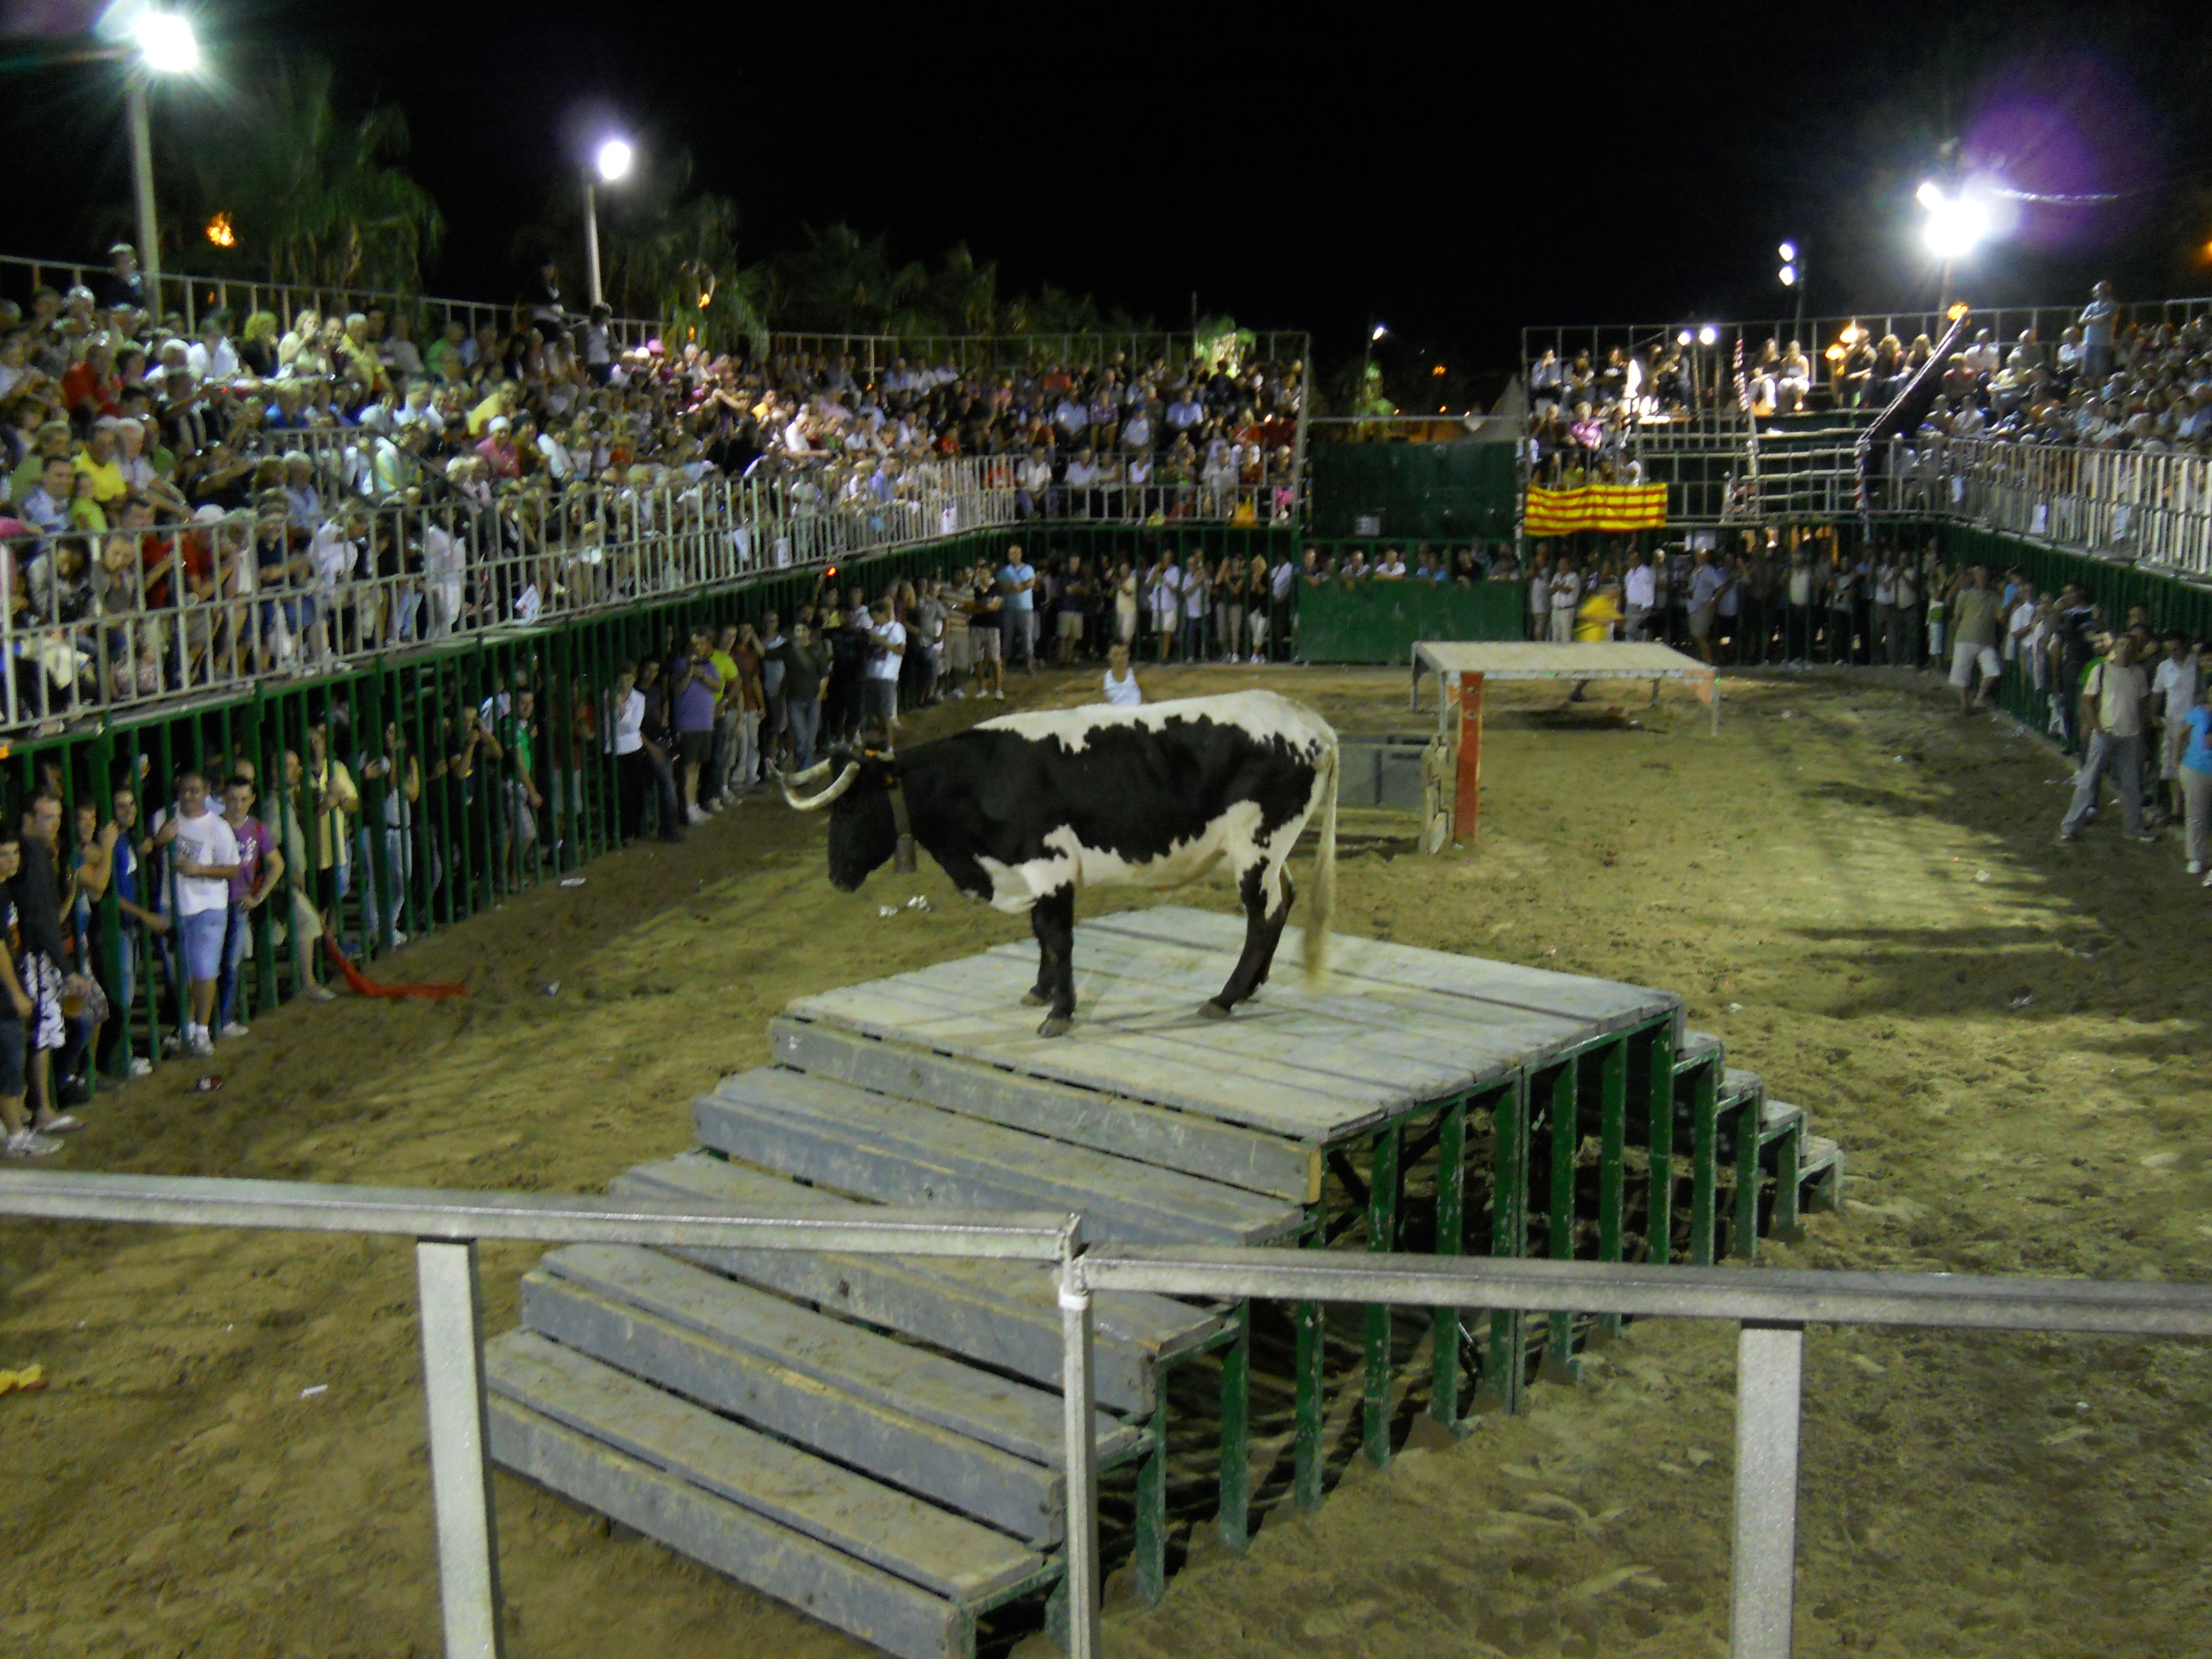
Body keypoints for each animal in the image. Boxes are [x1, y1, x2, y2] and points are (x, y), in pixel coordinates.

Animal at [783, 686, 1327, 1026]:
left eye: (850, 805)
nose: (837, 875)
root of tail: (1307, 721)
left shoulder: (1050, 867)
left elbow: (1058, 938)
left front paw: (1060, 1013)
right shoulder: (1029, 873)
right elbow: (1041, 933)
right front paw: (1041, 992)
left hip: (1256, 848)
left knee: (1262, 917)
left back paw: (1225, 996)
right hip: (1273, 851)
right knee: (1284, 902)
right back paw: (1251, 987)